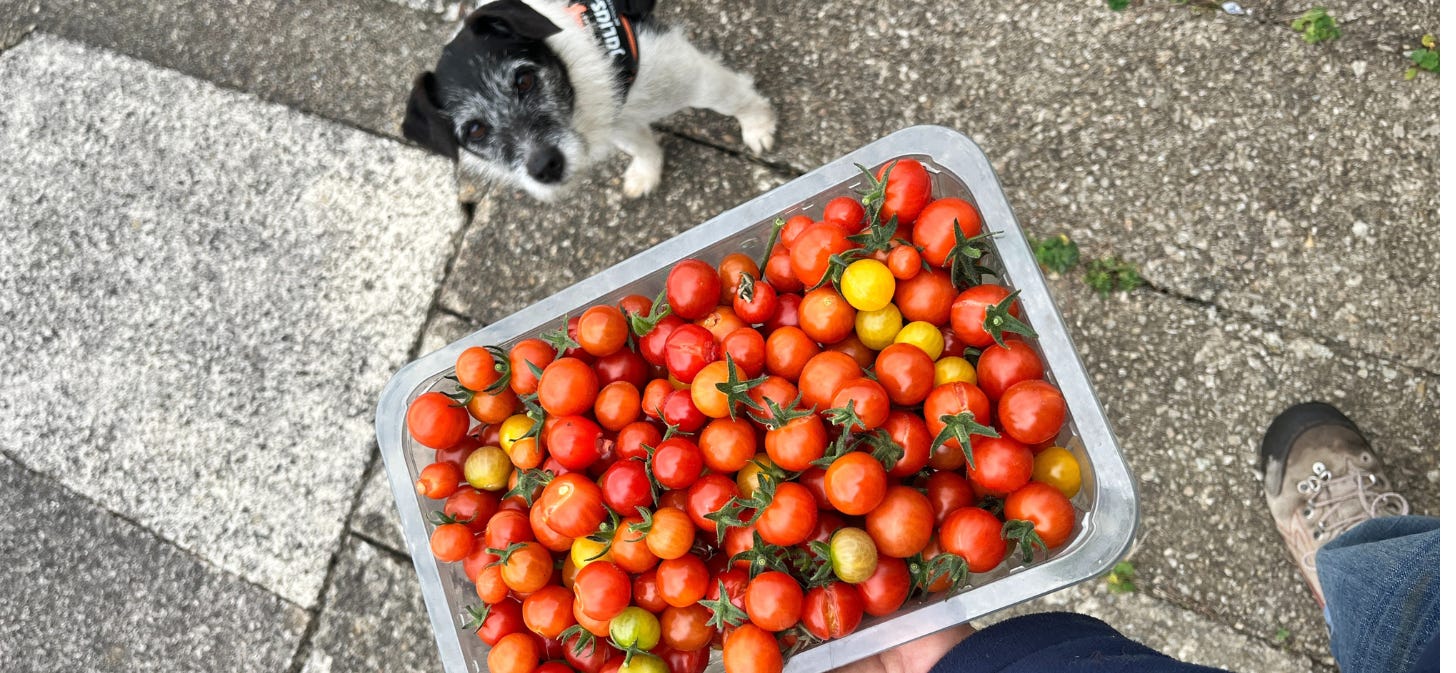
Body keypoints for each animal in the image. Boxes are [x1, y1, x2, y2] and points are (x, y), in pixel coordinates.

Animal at [401, 0, 774, 199]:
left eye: (524, 79)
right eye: (475, 130)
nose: (545, 167)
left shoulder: (691, 75)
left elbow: (735, 98)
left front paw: (759, 126)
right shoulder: (619, 115)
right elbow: (640, 144)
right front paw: (647, 172)